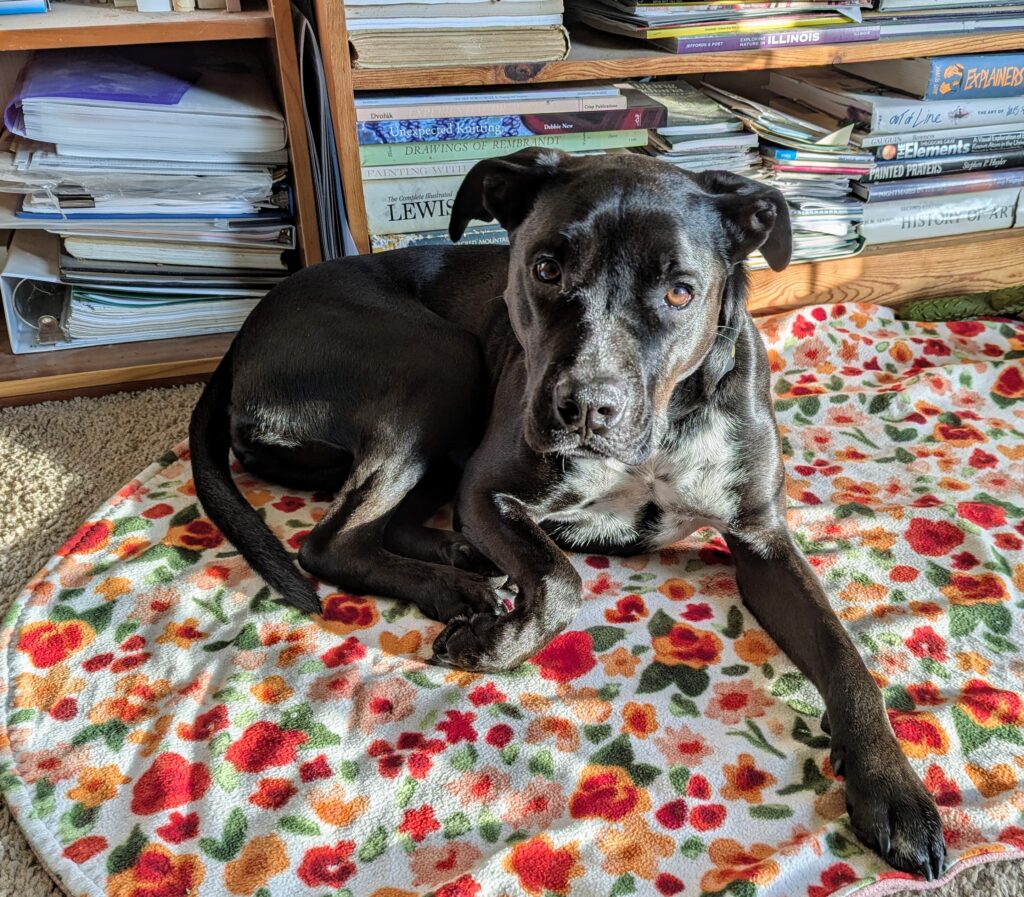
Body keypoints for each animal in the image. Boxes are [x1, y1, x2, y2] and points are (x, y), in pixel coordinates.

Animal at [190, 148, 942, 876]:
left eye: (680, 291)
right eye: (546, 269)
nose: (585, 407)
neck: (659, 433)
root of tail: (243, 334)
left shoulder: (762, 544)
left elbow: (845, 656)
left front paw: (894, 787)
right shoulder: (489, 491)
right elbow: (559, 580)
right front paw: (494, 642)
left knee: (387, 525)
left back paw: (461, 567)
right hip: (438, 362)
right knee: (330, 542)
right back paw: (458, 587)